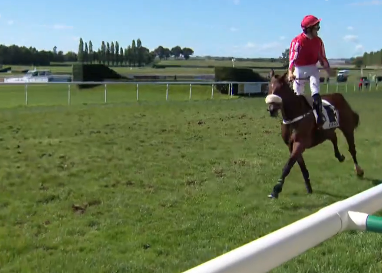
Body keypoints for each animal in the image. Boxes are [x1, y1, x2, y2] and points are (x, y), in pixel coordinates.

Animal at [264, 70, 362, 198]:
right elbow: (301, 166)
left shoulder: (300, 143)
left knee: (352, 149)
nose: (271, 109)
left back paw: (358, 170)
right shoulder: (291, 145)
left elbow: (288, 165)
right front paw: (308, 187)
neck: (295, 115)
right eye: (269, 87)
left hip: (347, 128)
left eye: (280, 88)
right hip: (326, 131)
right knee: (333, 137)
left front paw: (276, 189)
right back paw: (340, 156)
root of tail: (340, 96)